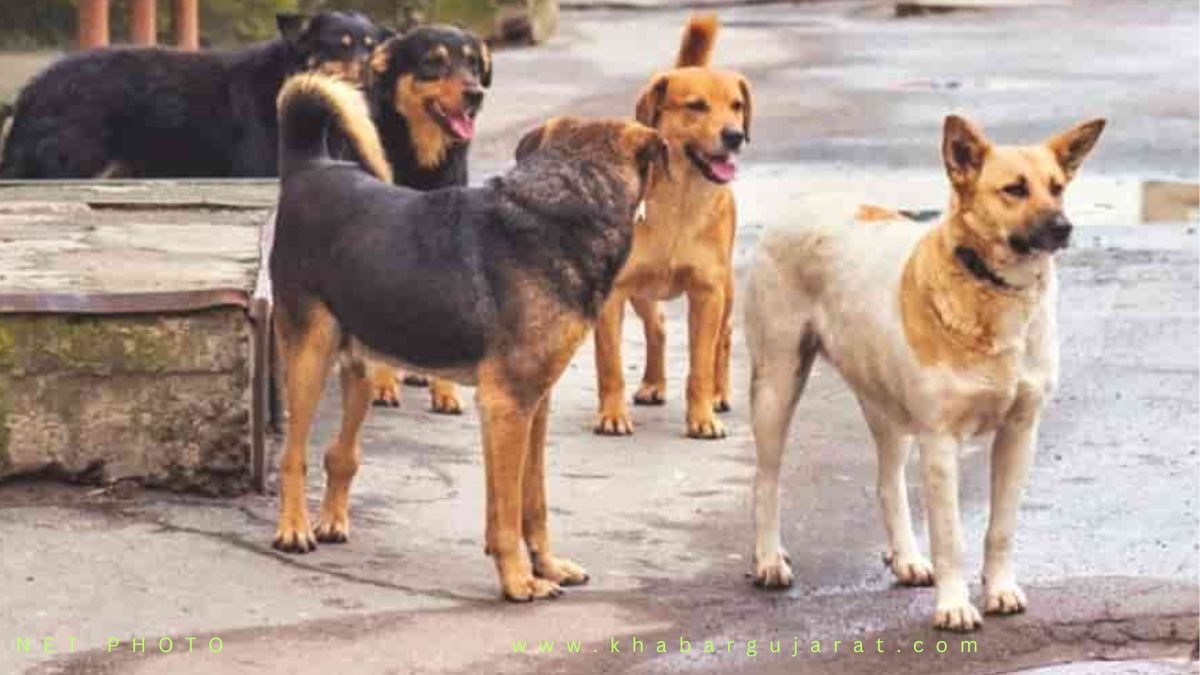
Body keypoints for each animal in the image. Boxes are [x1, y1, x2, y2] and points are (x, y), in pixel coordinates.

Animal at [0, 12, 387, 179]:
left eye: (371, 46)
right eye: (342, 45)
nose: (372, 67)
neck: (286, 76)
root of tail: (31, 90)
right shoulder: (258, 167)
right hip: (79, 160)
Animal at [270, 73, 668, 601]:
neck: (563, 206)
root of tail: (310, 166)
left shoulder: (534, 405)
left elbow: (533, 501)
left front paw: (547, 566)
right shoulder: (506, 406)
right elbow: (506, 513)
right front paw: (519, 580)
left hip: (362, 365)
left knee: (341, 452)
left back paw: (332, 520)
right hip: (309, 356)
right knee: (293, 454)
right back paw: (293, 529)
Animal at [361, 25, 492, 414]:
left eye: (473, 64)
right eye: (433, 62)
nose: (475, 94)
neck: (422, 162)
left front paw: (445, 391)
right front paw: (383, 384)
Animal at [592, 15, 750, 439]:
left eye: (737, 106)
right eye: (696, 106)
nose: (735, 136)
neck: (679, 201)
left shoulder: (708, 293)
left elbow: (700, 365)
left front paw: (702, 417)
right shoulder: (612, 294)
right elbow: (610, 364)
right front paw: (612, 414)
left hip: (727, 288)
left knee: (724, 338)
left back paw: (719, 393)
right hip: (642, 291)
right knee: (658, 327)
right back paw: (653, 384)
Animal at [745, 115, 1105, 631]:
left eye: (1057, 188)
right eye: (1014, 189)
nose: (1063, 227)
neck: (992, 290)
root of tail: (805, 201)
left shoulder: (1019, 433)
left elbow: (1001, 529)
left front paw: (1000, 589)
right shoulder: (940, 441)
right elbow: (951, 536)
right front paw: (954, 606)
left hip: (886, 408)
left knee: (887, 482)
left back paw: (907, 558)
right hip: (777, 384)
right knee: (766, 480)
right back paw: (769, 559)